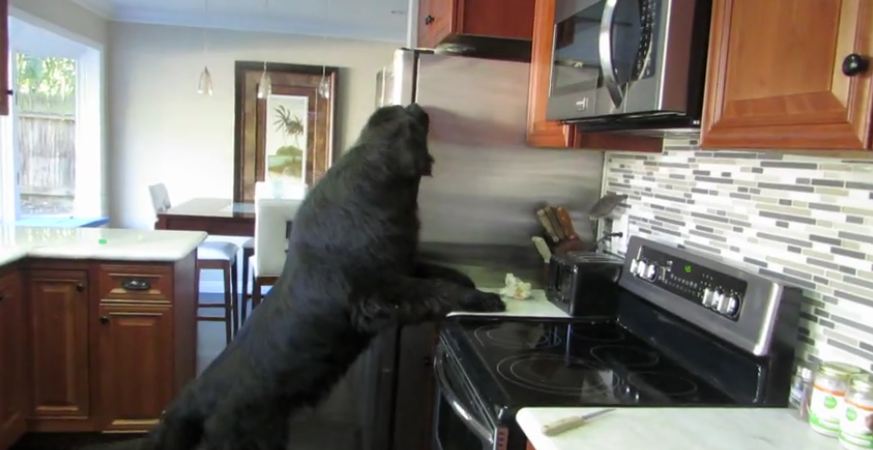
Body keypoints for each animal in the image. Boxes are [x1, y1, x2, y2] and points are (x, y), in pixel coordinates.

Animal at [135, 103, 504, 448]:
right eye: (408, 115)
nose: (417, 105)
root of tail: (193, 396)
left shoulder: (403, 264)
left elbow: (439, 274)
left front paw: (471, 283)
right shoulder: (379, 290)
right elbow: (434, 289)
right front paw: (485, 299)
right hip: (251, 434)